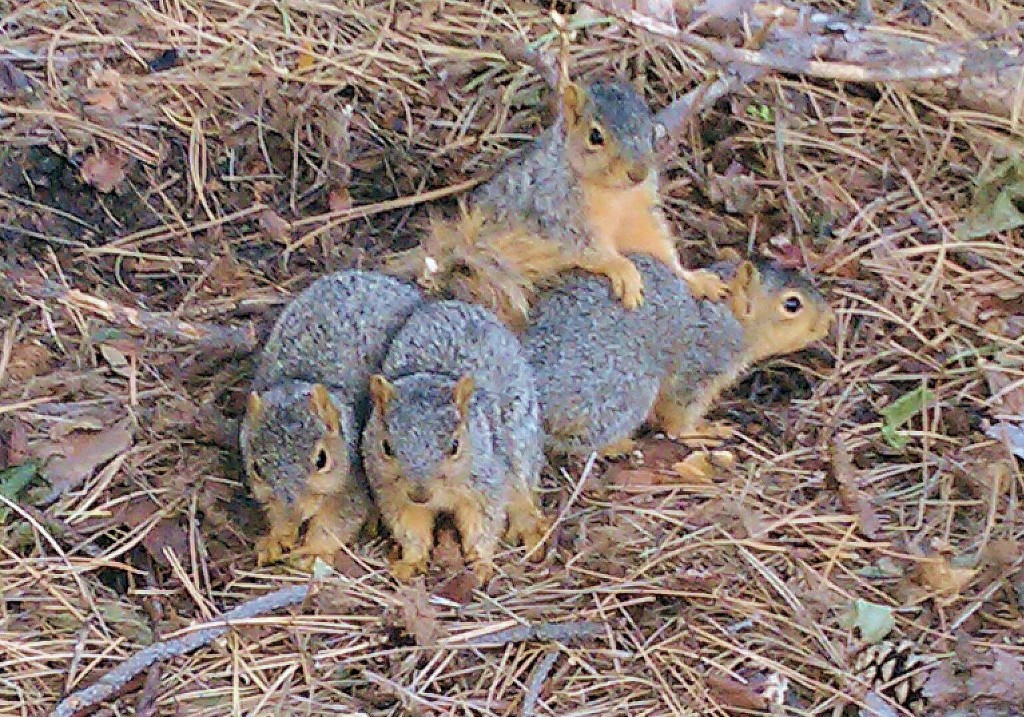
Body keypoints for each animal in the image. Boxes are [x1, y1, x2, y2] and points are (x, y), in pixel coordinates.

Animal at [240, 270, 423, 567]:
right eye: (256, 468)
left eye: (321, 460)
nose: (293, 512)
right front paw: (277, 536)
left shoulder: (355, 479)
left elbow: (338, 521)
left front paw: (313, 549)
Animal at [361, 300, 548, 583]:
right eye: (386, 447)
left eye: (455, 446)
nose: (419, 494)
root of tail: (452, 304)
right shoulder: (392, 494)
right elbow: (410, 528)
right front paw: (410, 562)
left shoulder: (486, 486)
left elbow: (483, 525)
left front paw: (481, 564)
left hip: (521, 446)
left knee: (523, 490)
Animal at [385, 78, 728, 329]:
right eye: (595, 136)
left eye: (651, 132)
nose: (639, 172)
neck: (614, 194)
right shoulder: (558, 212)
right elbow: (589, 248)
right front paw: (623, 269)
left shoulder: (641, 214)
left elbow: (662, 250)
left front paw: (696, 279)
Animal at [524, 253, 834, 458]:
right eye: (792, 304)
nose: (828, 322)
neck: (726, 314)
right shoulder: (698, 365)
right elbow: (678, 414)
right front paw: (701, 433)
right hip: (625, 390)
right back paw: (618, 445)